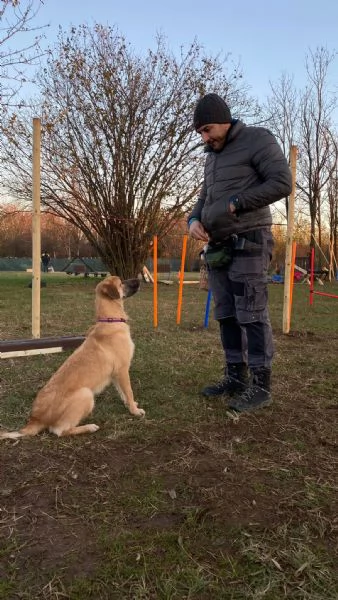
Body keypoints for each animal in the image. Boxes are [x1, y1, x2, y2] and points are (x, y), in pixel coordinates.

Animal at [0, 276, 145, 440]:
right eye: (121, 282)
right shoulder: (122, 370)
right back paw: (89, 427)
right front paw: (135, 411)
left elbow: (124, 394)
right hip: (86, 394)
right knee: (59, 430)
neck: (110, 320)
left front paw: (131, 405)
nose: (139, 279)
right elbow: (129, 392)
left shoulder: (116, 374)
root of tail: (36, 419)